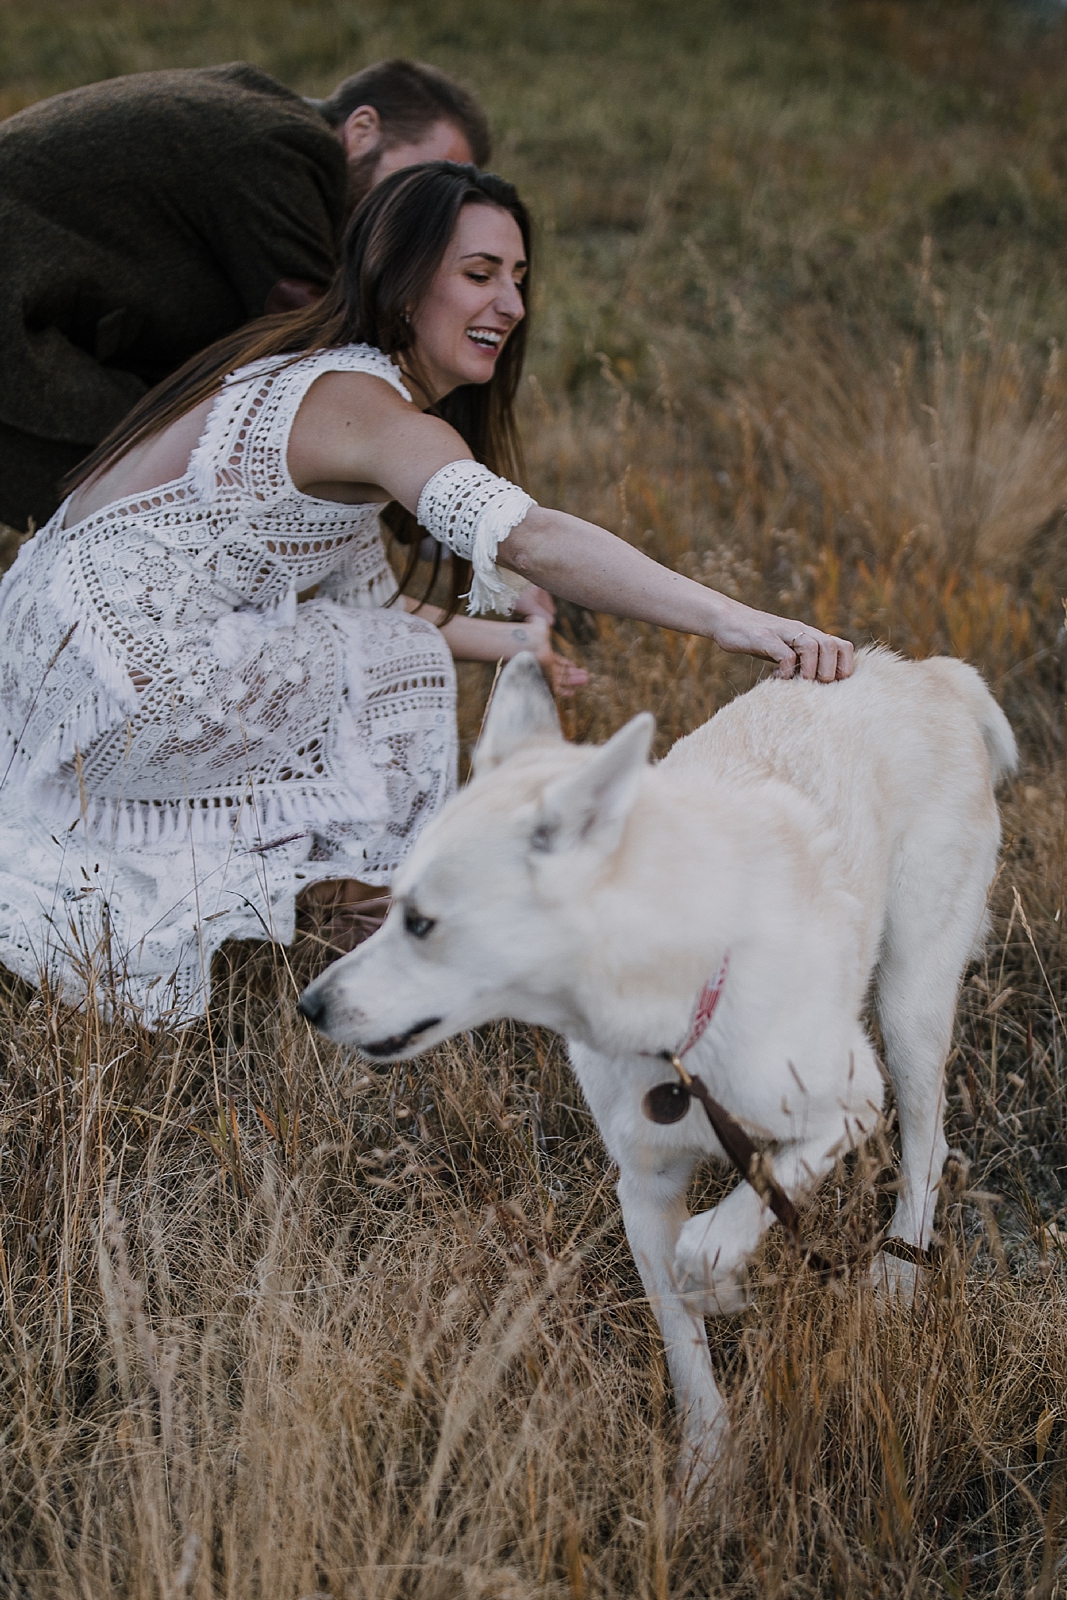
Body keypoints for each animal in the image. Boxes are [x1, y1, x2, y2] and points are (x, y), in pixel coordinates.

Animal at [300, 646, 1017, 1484]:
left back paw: (900, 1270)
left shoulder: (849, 1099)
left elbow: (716, 1232)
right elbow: (681, 1341)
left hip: (908, 1003)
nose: (311, 1005)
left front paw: (721, 1278)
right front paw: (705, 1471)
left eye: (419, 922)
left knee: (924, 1140)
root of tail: (927, 672)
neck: (674, 1019)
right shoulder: (641, 1190)